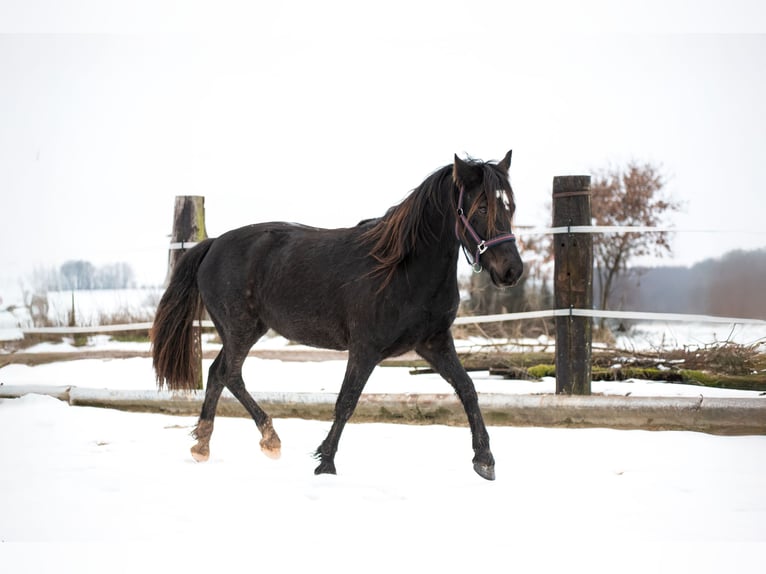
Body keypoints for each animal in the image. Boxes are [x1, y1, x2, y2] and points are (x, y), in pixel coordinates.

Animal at [151, 150, 523, 480]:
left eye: (510, 205)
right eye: (482, 206)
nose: (512, 271)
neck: (402, 268)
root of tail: (213, 243)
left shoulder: (434, 343)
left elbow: (468, 388)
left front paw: (485, 461)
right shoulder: (365, 348)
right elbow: (347, 401)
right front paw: (325, 463)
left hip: (246, 329)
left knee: (217, 373)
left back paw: (204, 444)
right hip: (239, 328)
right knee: (230, 374)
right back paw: (268, 438)